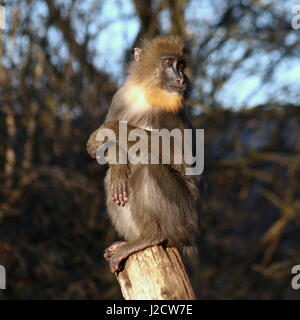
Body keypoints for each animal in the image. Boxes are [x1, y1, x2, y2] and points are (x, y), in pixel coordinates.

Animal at [86, 36, 200, 274]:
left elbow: (182, 158)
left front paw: (111, 129)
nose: (180, 80)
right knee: (112, 179)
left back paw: (151, 237)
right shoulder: (120, 97)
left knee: (147, 163)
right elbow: (108, 155)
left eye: (182, 65)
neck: (145, 92)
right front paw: (118, 163)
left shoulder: (170, 113)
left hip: (183, 216)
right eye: (169, 63)